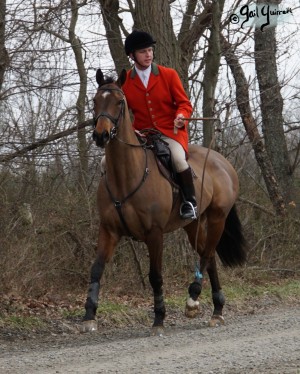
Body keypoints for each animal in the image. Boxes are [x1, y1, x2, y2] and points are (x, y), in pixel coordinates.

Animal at [81, 68, 246, 334]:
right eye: (95, 101)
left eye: (119, 102)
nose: (100, 135)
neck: (126, 174)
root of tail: (222, 161)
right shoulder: (108, 230)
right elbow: (96, 269)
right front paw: (89, 315)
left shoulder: (154, 233)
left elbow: (155, 275)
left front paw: (159, 318)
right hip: (192, 224)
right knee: (208, 256)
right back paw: (216, 310)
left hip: (218, 217)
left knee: (208, 254)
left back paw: (193, 299)